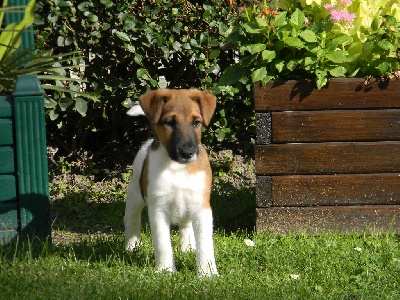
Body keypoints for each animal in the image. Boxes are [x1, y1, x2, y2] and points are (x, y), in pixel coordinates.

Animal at [125, 88, 219, 276]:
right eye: (169, 122)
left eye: (197, 122)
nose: (188, 152)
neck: (177, 168)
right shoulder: (158, 210)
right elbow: (163, 245)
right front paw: (166, 271)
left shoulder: (201, 208)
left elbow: (205, 245)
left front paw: (207, 274)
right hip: (135, 196)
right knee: (131, 219)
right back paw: (132, 245)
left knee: (186, 226)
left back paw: (187, 246)